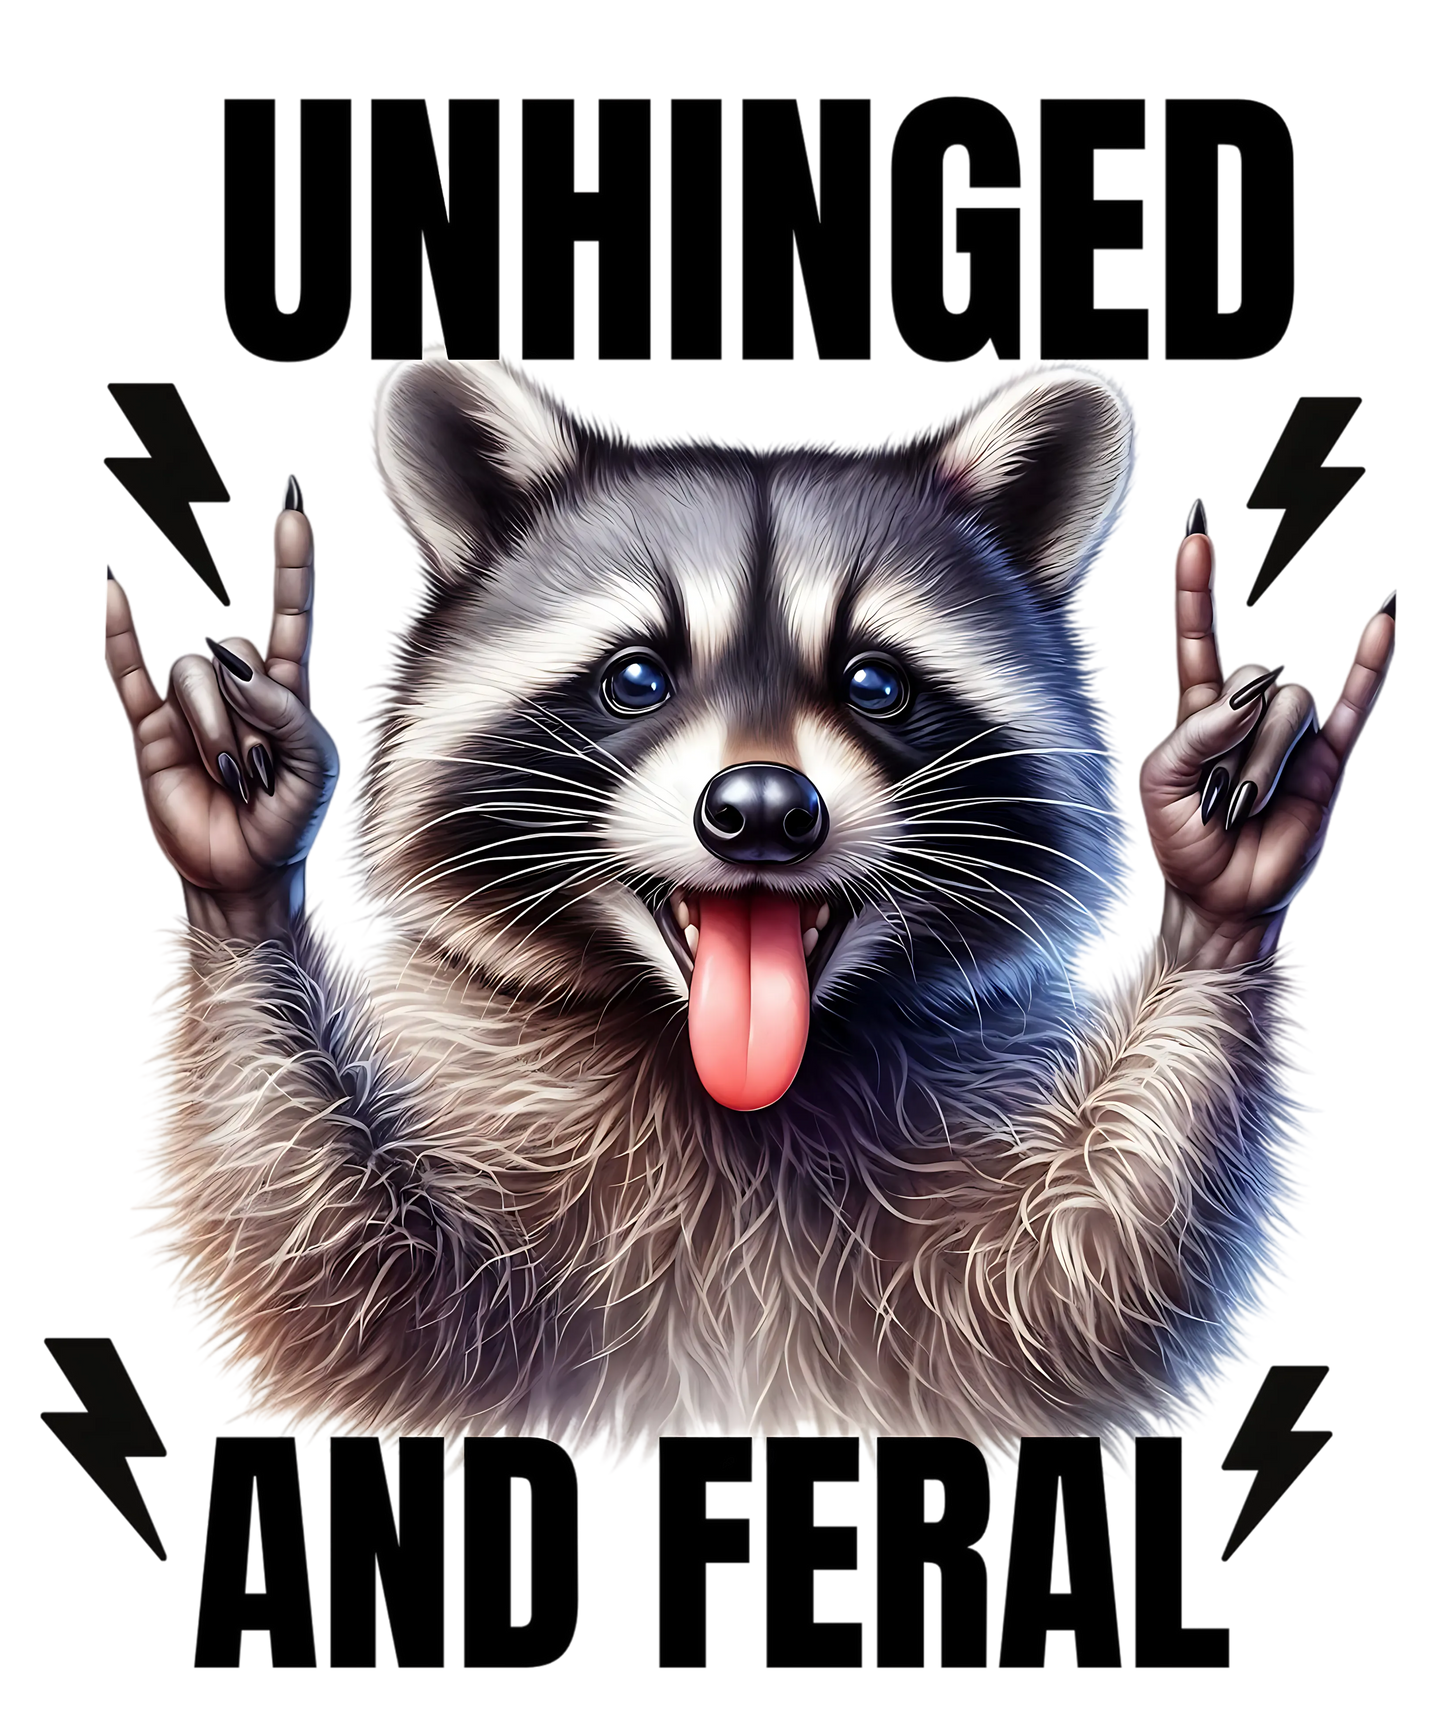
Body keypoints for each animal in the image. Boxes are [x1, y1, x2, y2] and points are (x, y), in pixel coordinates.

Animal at [105, 353, 1382, 1472]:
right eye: (635, 679)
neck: (736, 1087)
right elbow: (352, 1293)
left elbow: (1075, 1293)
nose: (764, 812)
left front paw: (1218, 879)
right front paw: (242, 856)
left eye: (875, 684)